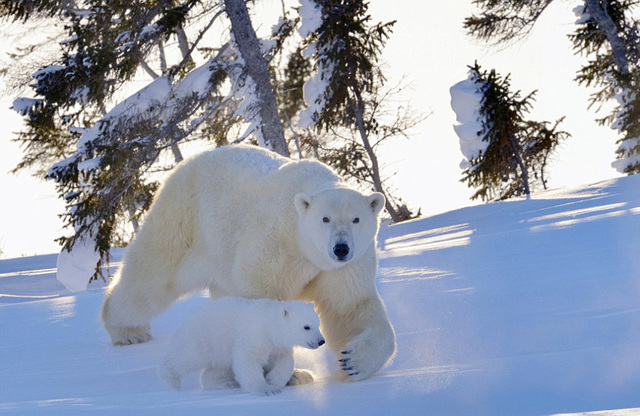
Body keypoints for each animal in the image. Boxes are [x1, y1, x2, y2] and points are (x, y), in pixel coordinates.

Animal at [101, 145, 396, 382]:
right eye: (325, 218)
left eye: (356, 219)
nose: (341, 248)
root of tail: (185, 164)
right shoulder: (276, 245)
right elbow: (261, 307)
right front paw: (292, 374)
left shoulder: (343, 267)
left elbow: (349, 307)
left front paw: (353, 362)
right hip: (185, 221)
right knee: (154, 275)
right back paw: (128, 331)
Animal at [158, 298, 322, 394]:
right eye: (306, 327)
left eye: (318, 324)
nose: (321, 341)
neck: (268, 323)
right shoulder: (254, 335)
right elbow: (248, 360)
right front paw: (266, 389)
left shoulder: (278, 345)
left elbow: (284, 360)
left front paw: (273, 380)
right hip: (205, 338)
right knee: (185, 357)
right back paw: (172, 382)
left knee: (215, 370)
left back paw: (227, 384)